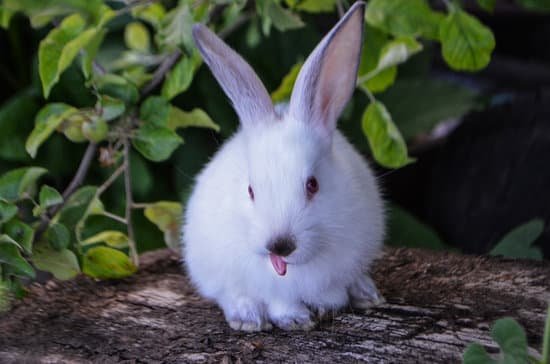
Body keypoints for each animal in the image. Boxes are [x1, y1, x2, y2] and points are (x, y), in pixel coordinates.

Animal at [183, 2, 386, 332]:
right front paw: (295, 319)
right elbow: (278, 301)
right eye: (250, 191)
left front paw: (332, 302)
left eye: (313, 184)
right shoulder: (267, 286)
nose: (279, 245)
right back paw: (247, 318)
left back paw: (366, 293)